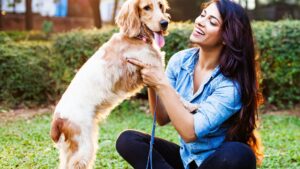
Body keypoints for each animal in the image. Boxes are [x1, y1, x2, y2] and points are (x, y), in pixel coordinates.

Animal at [50, 0, 170, 168]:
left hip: (71, 150)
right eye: (146, 7)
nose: (165, 23)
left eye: (161, 6)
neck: (135, 37)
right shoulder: (153, 67)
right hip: (84, 148)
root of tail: (58, 118)